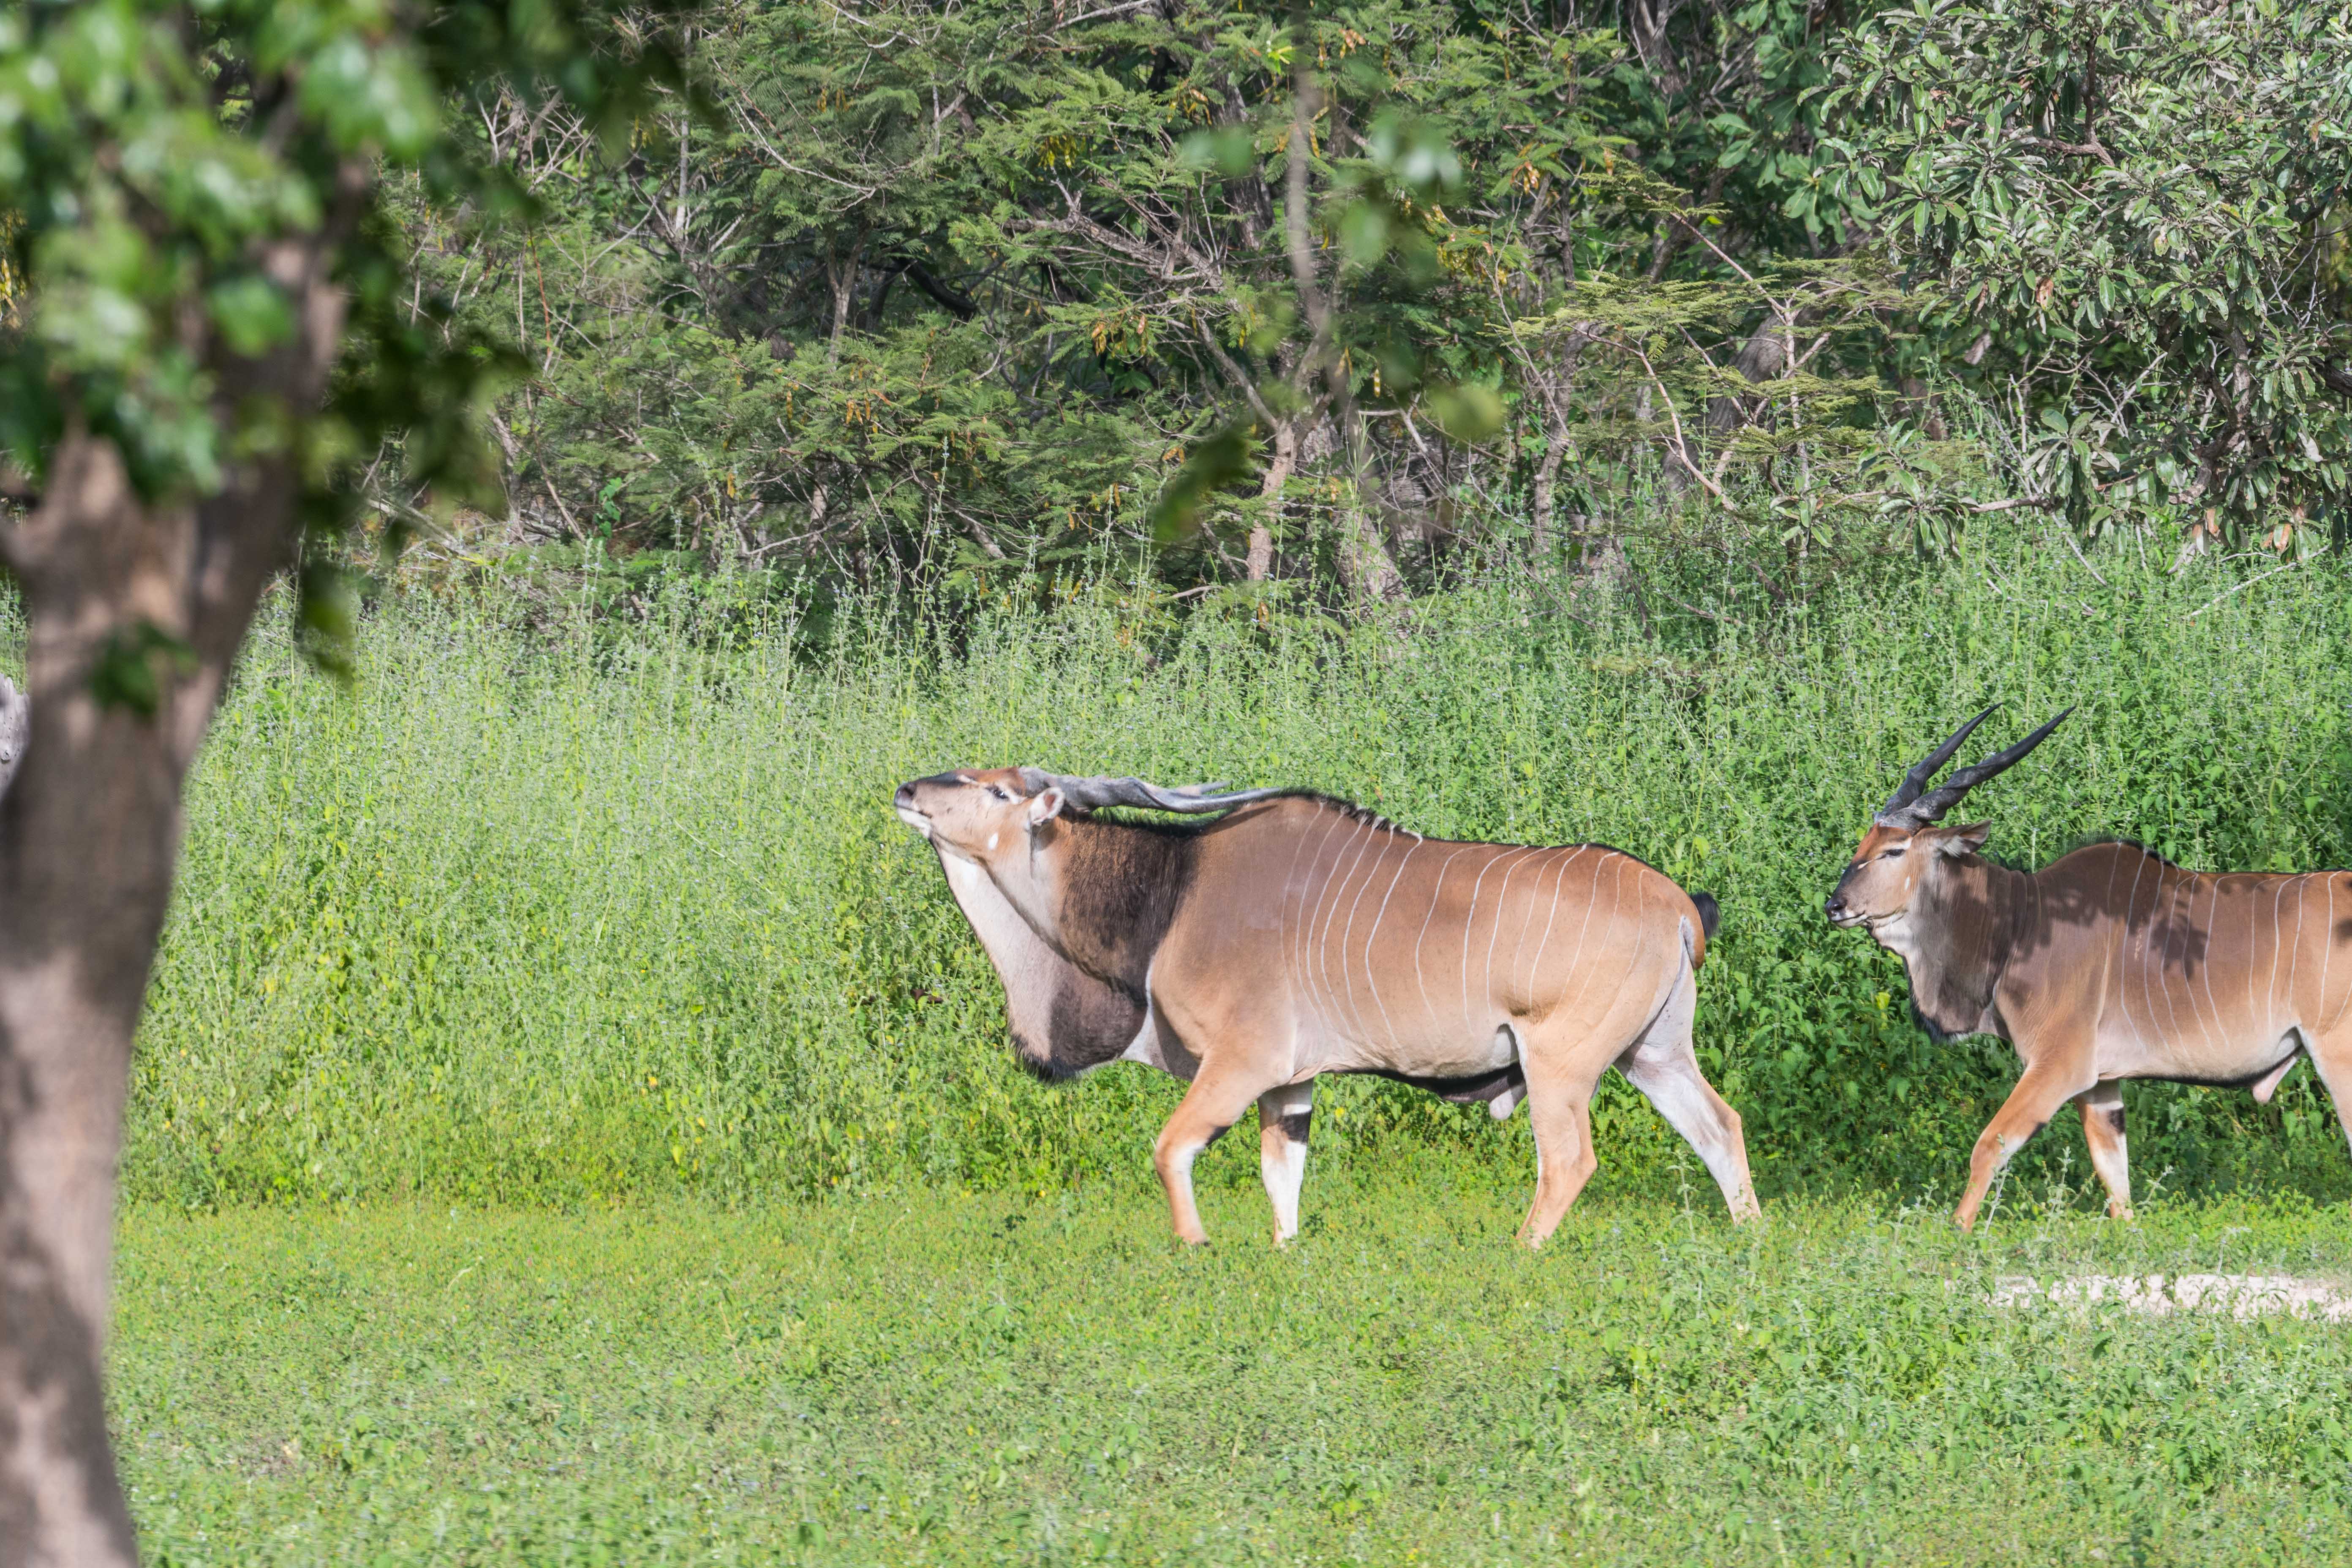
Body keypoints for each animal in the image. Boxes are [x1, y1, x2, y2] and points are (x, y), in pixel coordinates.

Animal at [889, 766, 1759, 1241]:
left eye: (998, 790)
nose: (907, 790)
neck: (1172, 892)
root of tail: (1677, 903)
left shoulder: (1241, 1064)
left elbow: (1171, 1150)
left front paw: (1196, 1247)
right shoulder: (1291, 1084)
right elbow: (1283, 1181)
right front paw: (1285, 1254)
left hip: (1559, 1062)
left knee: (1570, 1160)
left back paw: (1519, 1250)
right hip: (1653, 1055)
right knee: (1718, 1125)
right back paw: (1749, 1236)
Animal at [1825, 714, 2352, 1241]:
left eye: (1894, 850)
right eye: (1864, 843)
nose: (1835, 906)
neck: (2020, 922)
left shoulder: (2059, 1064)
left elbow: (1990, 1145)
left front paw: (1957, 1233)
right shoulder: (2101, 1085)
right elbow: (2115, 1181)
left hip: (2336, 1054)